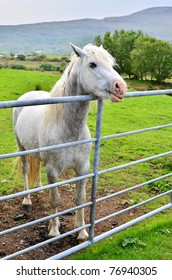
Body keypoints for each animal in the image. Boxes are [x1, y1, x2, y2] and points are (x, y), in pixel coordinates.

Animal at [13, 43, 126, 241]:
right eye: (92, 64)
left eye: (111, 64)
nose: (121, 87)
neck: (69, 130)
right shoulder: (53, 171)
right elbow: (55, 200)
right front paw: (54, 230)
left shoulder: (83, 168)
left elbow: (80, 199)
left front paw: (81, 232)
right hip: (22, 148)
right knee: (26, 169)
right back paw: (27, 200)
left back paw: (39, 187)